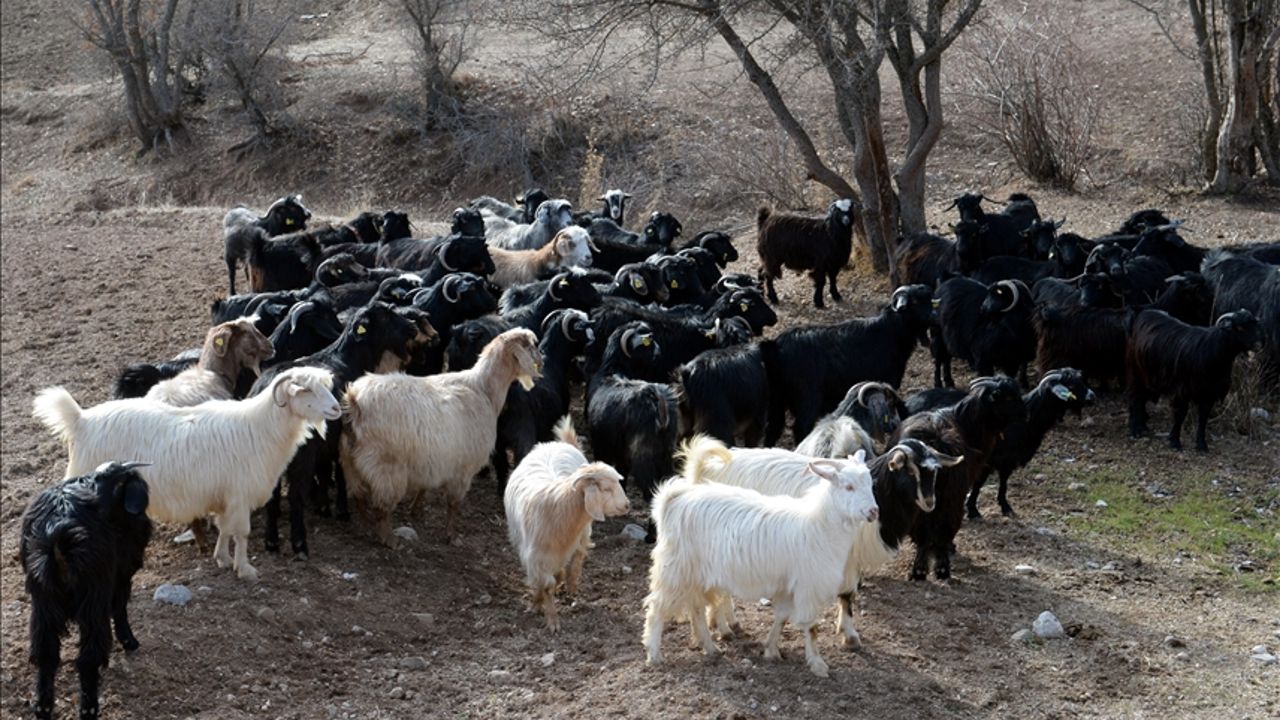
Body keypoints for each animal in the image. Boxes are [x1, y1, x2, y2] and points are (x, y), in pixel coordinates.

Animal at [20, 458, 151, 717]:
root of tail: (57, 537)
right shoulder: (120, 577)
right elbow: (120, 608)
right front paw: (129, 641)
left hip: (43, 602)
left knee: (46, 653)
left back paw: (43, 706)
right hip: (93, 600)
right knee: (87, 658)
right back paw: (89, 708)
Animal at [340, 326, 540, 543]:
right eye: (530, 346)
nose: (542, 361)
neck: (483, 389)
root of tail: (355, 402)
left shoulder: (430, 461)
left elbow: (424, 488)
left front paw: (417, 511)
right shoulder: (463, 469)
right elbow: (453, 504)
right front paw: (452, 535)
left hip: (349, 463)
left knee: (359, 497)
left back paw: (364, 529)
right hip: (385, 468)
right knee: (381, 508)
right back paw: (389, 540)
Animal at [501, 415, 627, 627]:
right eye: (606, 489)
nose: (627, 505)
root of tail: (558, 443)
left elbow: (555, 577)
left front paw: (550, 612)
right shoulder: (534, 556)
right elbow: (545, 584)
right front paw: (542, 609)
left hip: (583, 534)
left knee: (578, 556)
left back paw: (571, 582)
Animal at [640, 440, 880, 676]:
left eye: (870, 484)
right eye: (848, 487)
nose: (873, 512)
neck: (819, 524)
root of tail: (674, 500)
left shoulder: (788, 586)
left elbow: (781, 618)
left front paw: (771, 650)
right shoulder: (808, 586)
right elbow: (811, 627)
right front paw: (818, 664)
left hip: (695, 575)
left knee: (697, 610)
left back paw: (711, 649)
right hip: (674, 570)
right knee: (656, 609)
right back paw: (654, 655)